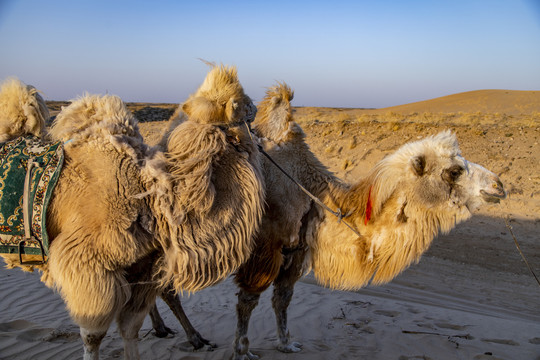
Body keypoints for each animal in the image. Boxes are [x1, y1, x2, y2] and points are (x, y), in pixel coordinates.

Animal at [0, 65, 264, 360]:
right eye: (242, 104)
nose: (257, 110)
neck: (150, 199)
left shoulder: (143, 270)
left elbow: (130, 327)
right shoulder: (87, 266)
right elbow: (92, 335)